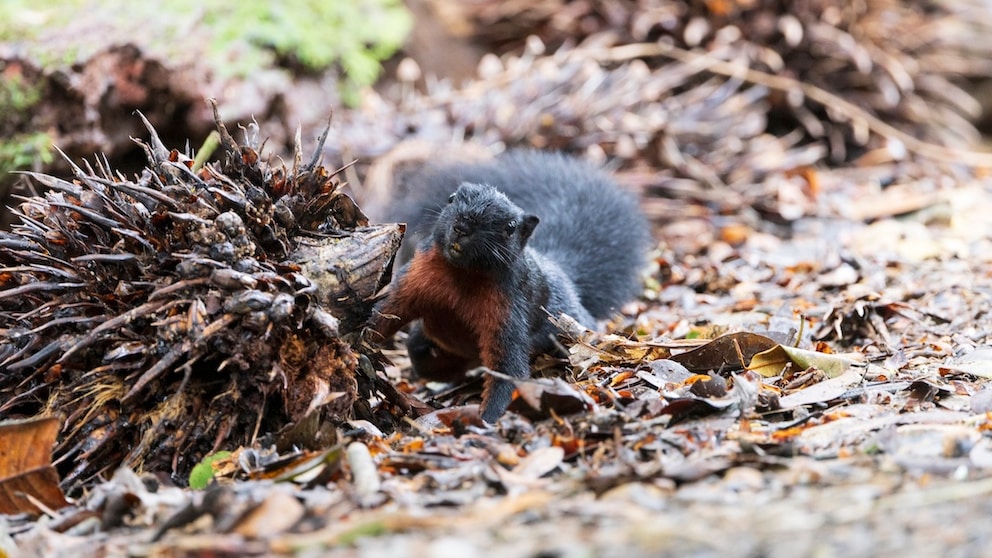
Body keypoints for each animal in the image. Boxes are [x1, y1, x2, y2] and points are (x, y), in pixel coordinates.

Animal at [370, 150, 652, 422]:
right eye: (451, 199)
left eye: (510, 227)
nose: (463, 226)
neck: (461, 274)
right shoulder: (414, 277)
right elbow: (387, 309)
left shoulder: (508, 310)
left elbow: (508, 368)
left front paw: (488, 419)